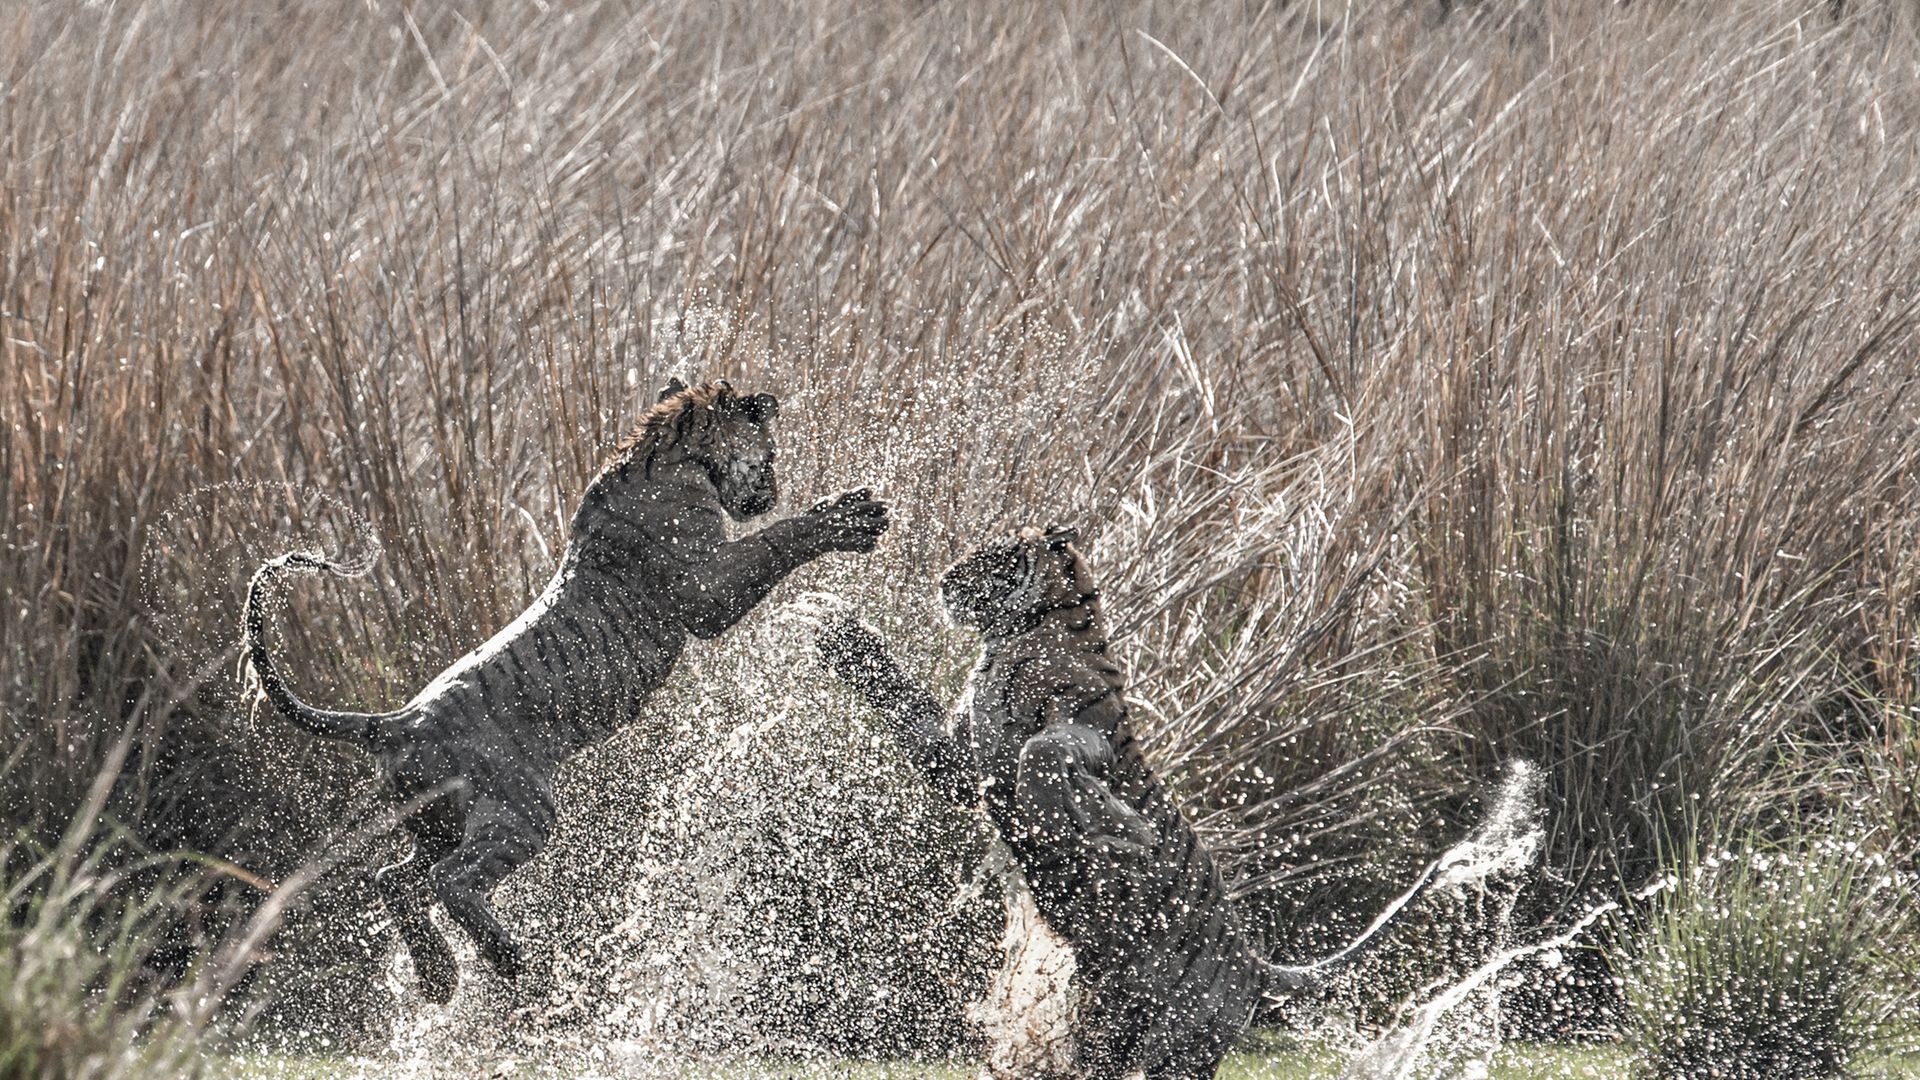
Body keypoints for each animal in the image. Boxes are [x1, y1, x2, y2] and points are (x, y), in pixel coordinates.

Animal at [245, 378, 890, 1004]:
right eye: (771, 455)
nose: (772, 490)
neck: (668, 450)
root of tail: (397, 720)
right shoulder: (708, 589)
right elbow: (782, 538)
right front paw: (856, 515)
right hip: (519, 812)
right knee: (447, 882)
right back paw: (509, 962)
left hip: (438, 824)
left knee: (393, 880)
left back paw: (438, 977)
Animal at [818, 527, 1407, 1080]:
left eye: (996, 554)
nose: (943, 579)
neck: (1015, 636)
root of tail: (1254, 962)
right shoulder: (962, 764)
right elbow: (909, 706)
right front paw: (837, 630)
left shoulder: (1080, 736)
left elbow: (1040, 755)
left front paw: (1110, 828)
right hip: (1112, 1021)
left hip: (1182, 1044)